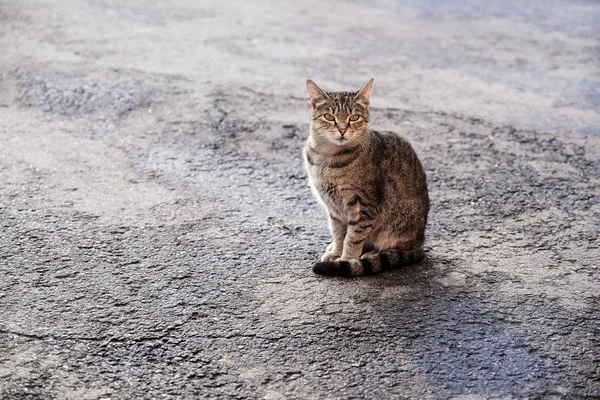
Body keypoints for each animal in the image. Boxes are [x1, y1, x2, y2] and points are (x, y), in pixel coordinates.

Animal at [302, 79, 428, 276]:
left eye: (354, 117)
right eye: (329, 117)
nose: (342, 130)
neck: (327, 157)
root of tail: (420, 244)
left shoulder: (364, 206)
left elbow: (352, 237)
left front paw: (346, 259)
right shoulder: (333, 207)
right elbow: (338, 232)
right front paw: (336, 252)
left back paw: (370, 255)